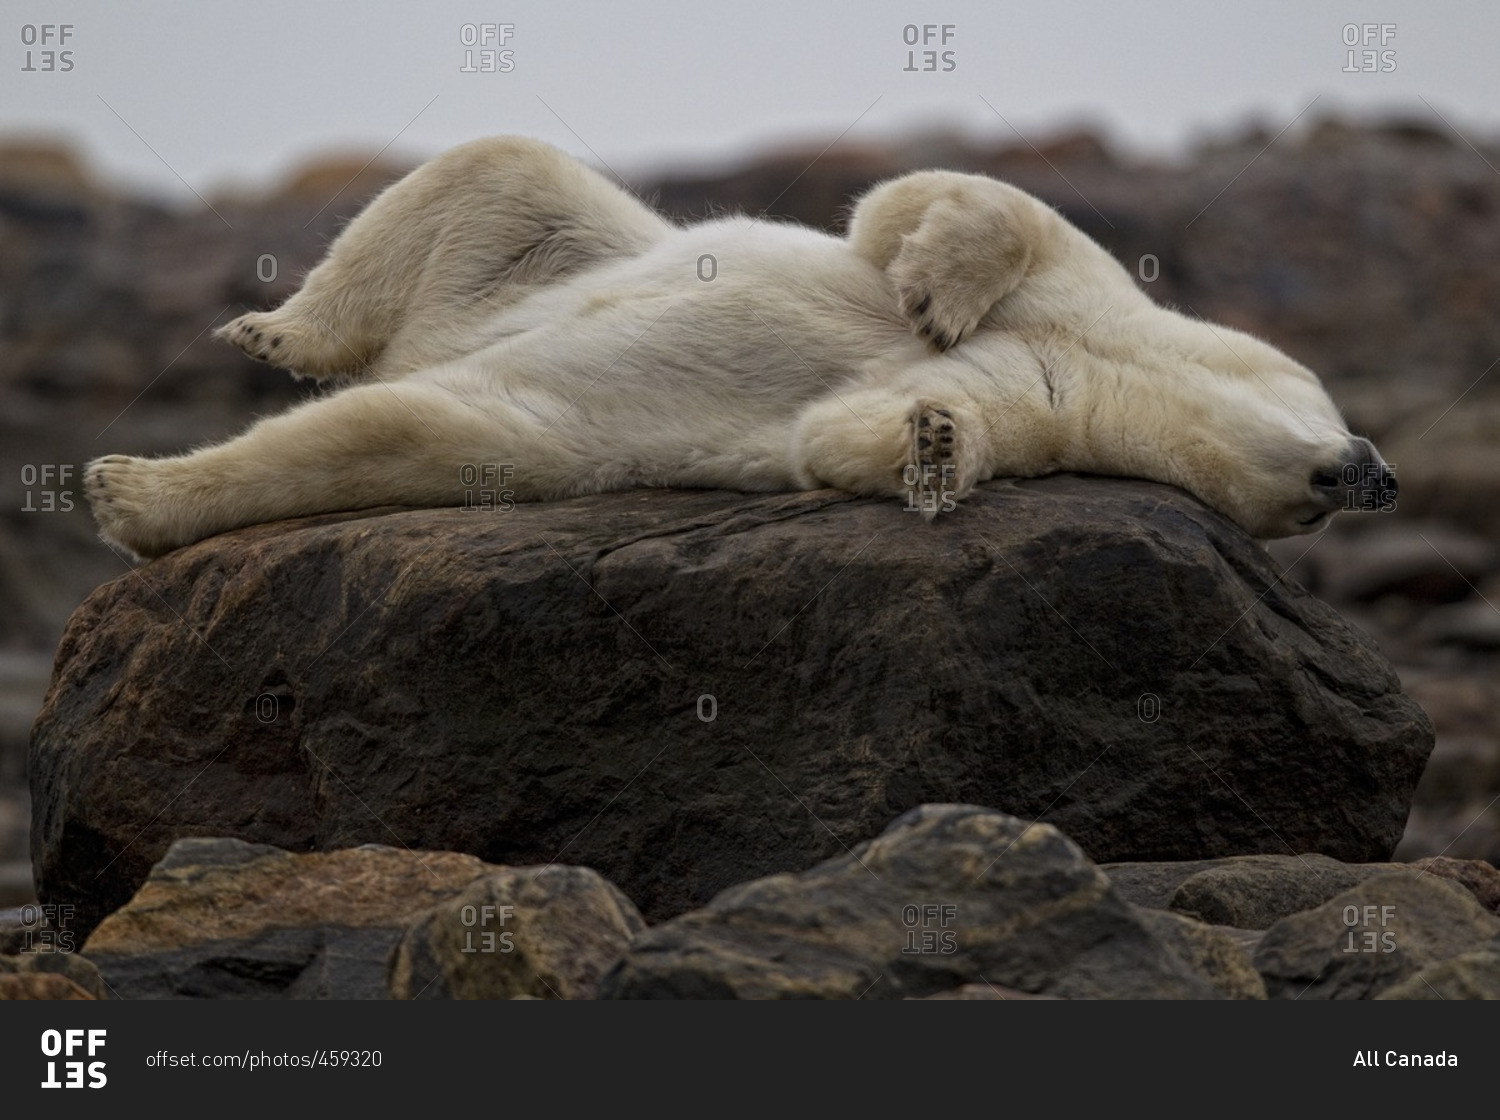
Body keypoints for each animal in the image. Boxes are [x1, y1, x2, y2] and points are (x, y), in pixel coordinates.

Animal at [85, 135, 1396, 559]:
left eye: (1302, 514)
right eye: (1320, 483)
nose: (1374, 475)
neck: (1126, 365)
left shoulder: (1052, 401)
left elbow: (844, 435)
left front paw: (931, 443)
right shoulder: (1088, 297)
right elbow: (933, 204)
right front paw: (931, 291)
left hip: (534, 428)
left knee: (407, 425)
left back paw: (134, 491)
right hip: (558, 253)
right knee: (503, 169)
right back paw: (272, 329)